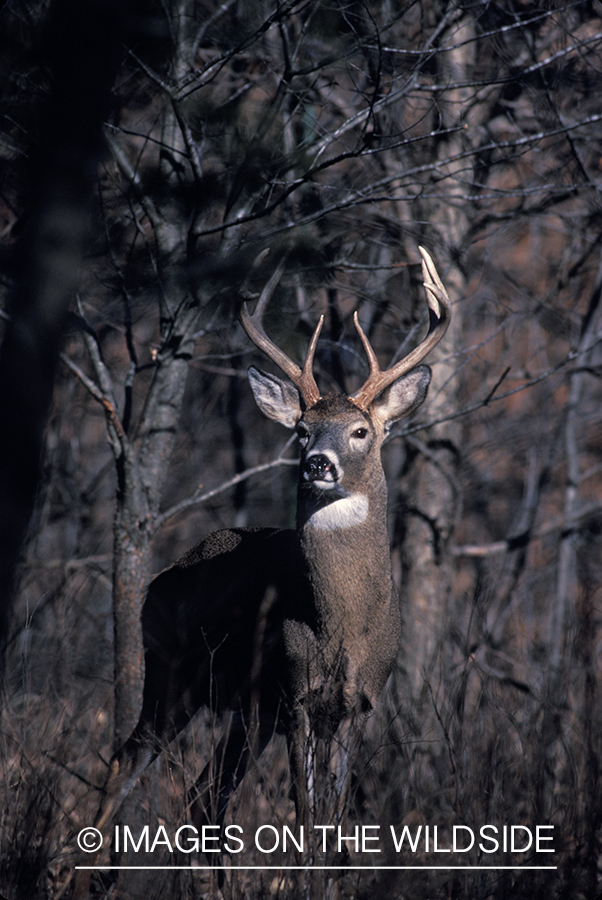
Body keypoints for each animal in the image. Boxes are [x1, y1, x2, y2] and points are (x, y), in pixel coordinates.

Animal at [93, 246, 451, 846]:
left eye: (360, 431)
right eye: (302, 430)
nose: (318, 463)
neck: (341, 624)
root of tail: (159, 580)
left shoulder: (360, 702)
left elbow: (333, 820)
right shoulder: (295, 690)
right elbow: (306, 817)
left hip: (246, 710)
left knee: (204, 796)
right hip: (171, 672)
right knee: (128, 761)